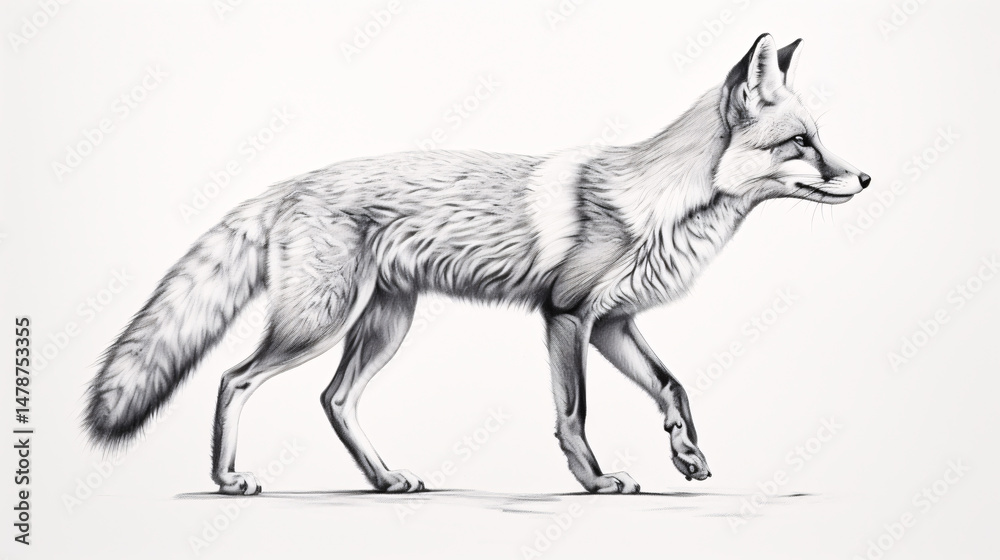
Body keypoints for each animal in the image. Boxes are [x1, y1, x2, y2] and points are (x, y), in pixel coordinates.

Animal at [84, 34, 869, 495]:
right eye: (800, 142)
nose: (865, 179)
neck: (657, 205)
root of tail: (289, 183)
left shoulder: (614, 323)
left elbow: (672, 386)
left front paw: (687, 456)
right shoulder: (567, 315)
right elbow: (574, 413)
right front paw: (594, 482)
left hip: (383, 325)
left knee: (334, 399)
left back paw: (383, 479)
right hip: (319, 322)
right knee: (232, 378)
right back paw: (226, 478)